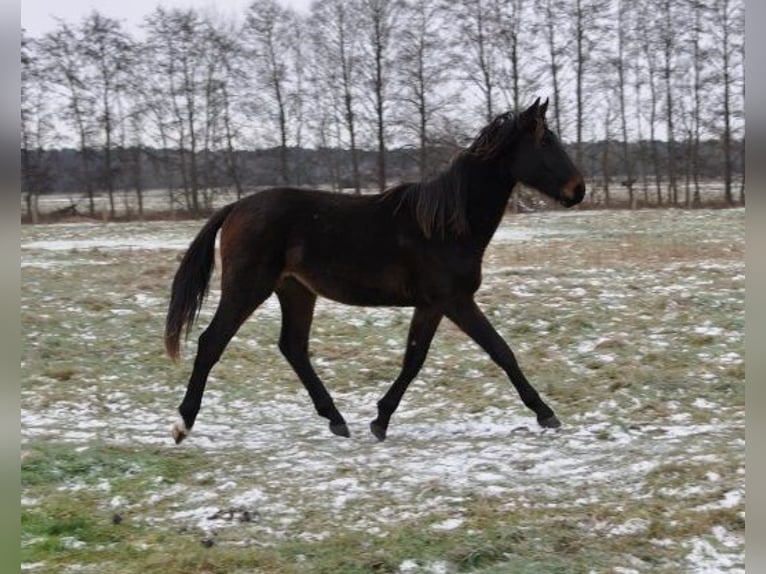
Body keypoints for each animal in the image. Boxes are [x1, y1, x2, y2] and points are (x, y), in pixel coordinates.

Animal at [165, 99, 584, 446]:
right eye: (545, 143)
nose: (578, 190)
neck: (447, 226)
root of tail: (234, 207)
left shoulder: (431, 305)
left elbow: (414, 358)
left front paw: (380, 419)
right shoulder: (454, 300)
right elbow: (500, 351)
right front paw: (546, 414)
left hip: (296, 290)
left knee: (293, 347)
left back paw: (336, 419)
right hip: (248, 287)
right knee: (212, 342)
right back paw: (183, 424)